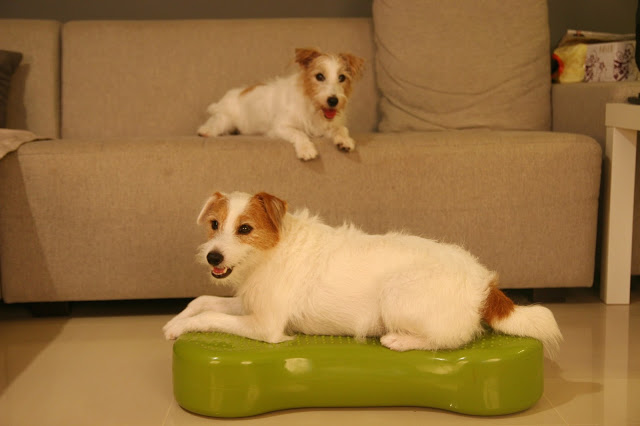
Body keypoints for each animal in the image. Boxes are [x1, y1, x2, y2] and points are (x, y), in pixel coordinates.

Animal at [163, 191, 562, 357]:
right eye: (214, 224)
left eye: (245, 229)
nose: (213, 255)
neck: (271, 250)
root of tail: (485, 283)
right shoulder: (250, 305)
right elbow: (203, 300)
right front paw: (175, 321)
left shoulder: (266, 327)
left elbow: (210, 316)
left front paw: (183, 327)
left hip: (396, 294)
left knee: (451, 340)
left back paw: (401, 340)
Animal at [196, 48, 364, 161]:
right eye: (319, 76)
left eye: (342, 77)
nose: (333, 101)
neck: (311, 106)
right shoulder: (280, 127)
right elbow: (299, 133)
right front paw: (306, 149)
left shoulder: (326, 127)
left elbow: (341, 128)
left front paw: (345, 141)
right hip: (226, 119)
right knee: (216, 121)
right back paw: (205, 131)